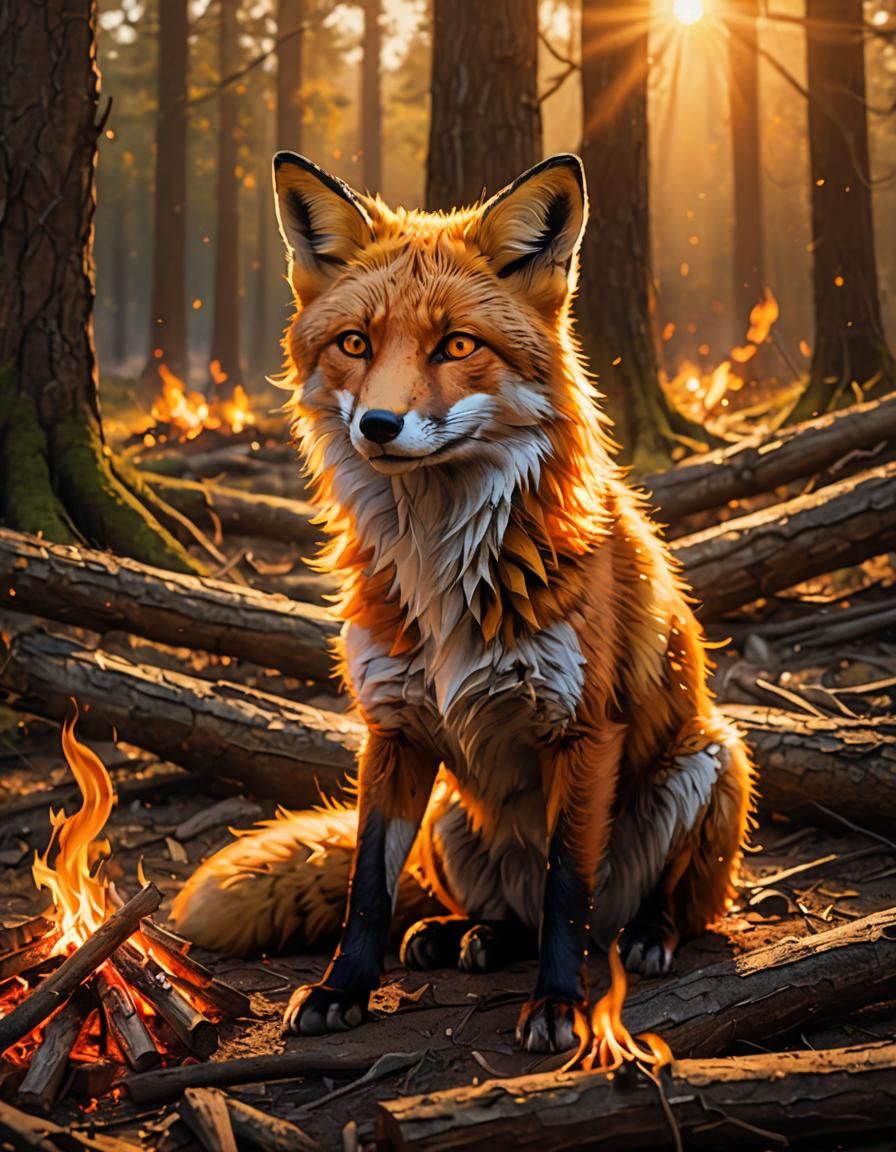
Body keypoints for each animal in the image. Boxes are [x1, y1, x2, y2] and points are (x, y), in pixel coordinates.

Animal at [172, 151, 754, 1053]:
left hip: (710, 757)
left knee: (641, 912)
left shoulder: (582, 730)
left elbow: (565, 888)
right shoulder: (393, 728)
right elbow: (367, 887)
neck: (444, 570)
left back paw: (647, 934)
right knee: (492, 910)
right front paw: (343, 990)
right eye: (355, 344)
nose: (378, 424)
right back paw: (465, 935)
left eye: (456, 345)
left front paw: (557, 1005)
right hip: (451, 819)